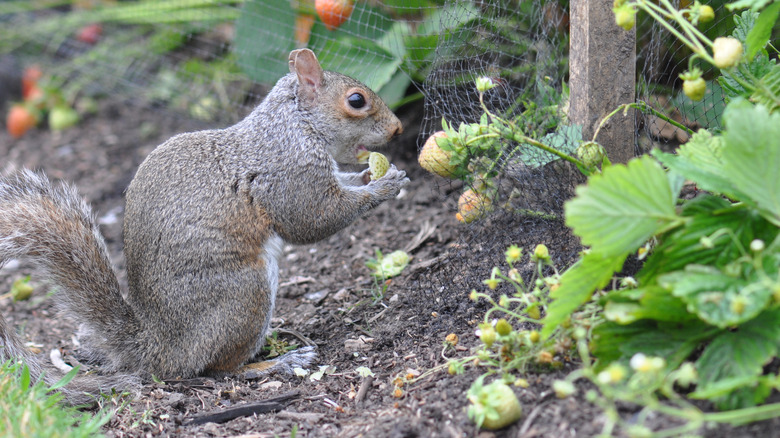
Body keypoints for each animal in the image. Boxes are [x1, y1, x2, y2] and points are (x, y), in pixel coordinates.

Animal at [0, 48, 408, 404]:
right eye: (356, 100)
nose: (399, 129)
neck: (295, 124)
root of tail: (158, 347)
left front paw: (372, 175)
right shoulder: (289, 173)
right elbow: (313, 220)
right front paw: (382, 186)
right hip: (244, 294)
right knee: (217, 369)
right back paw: (275, 362)